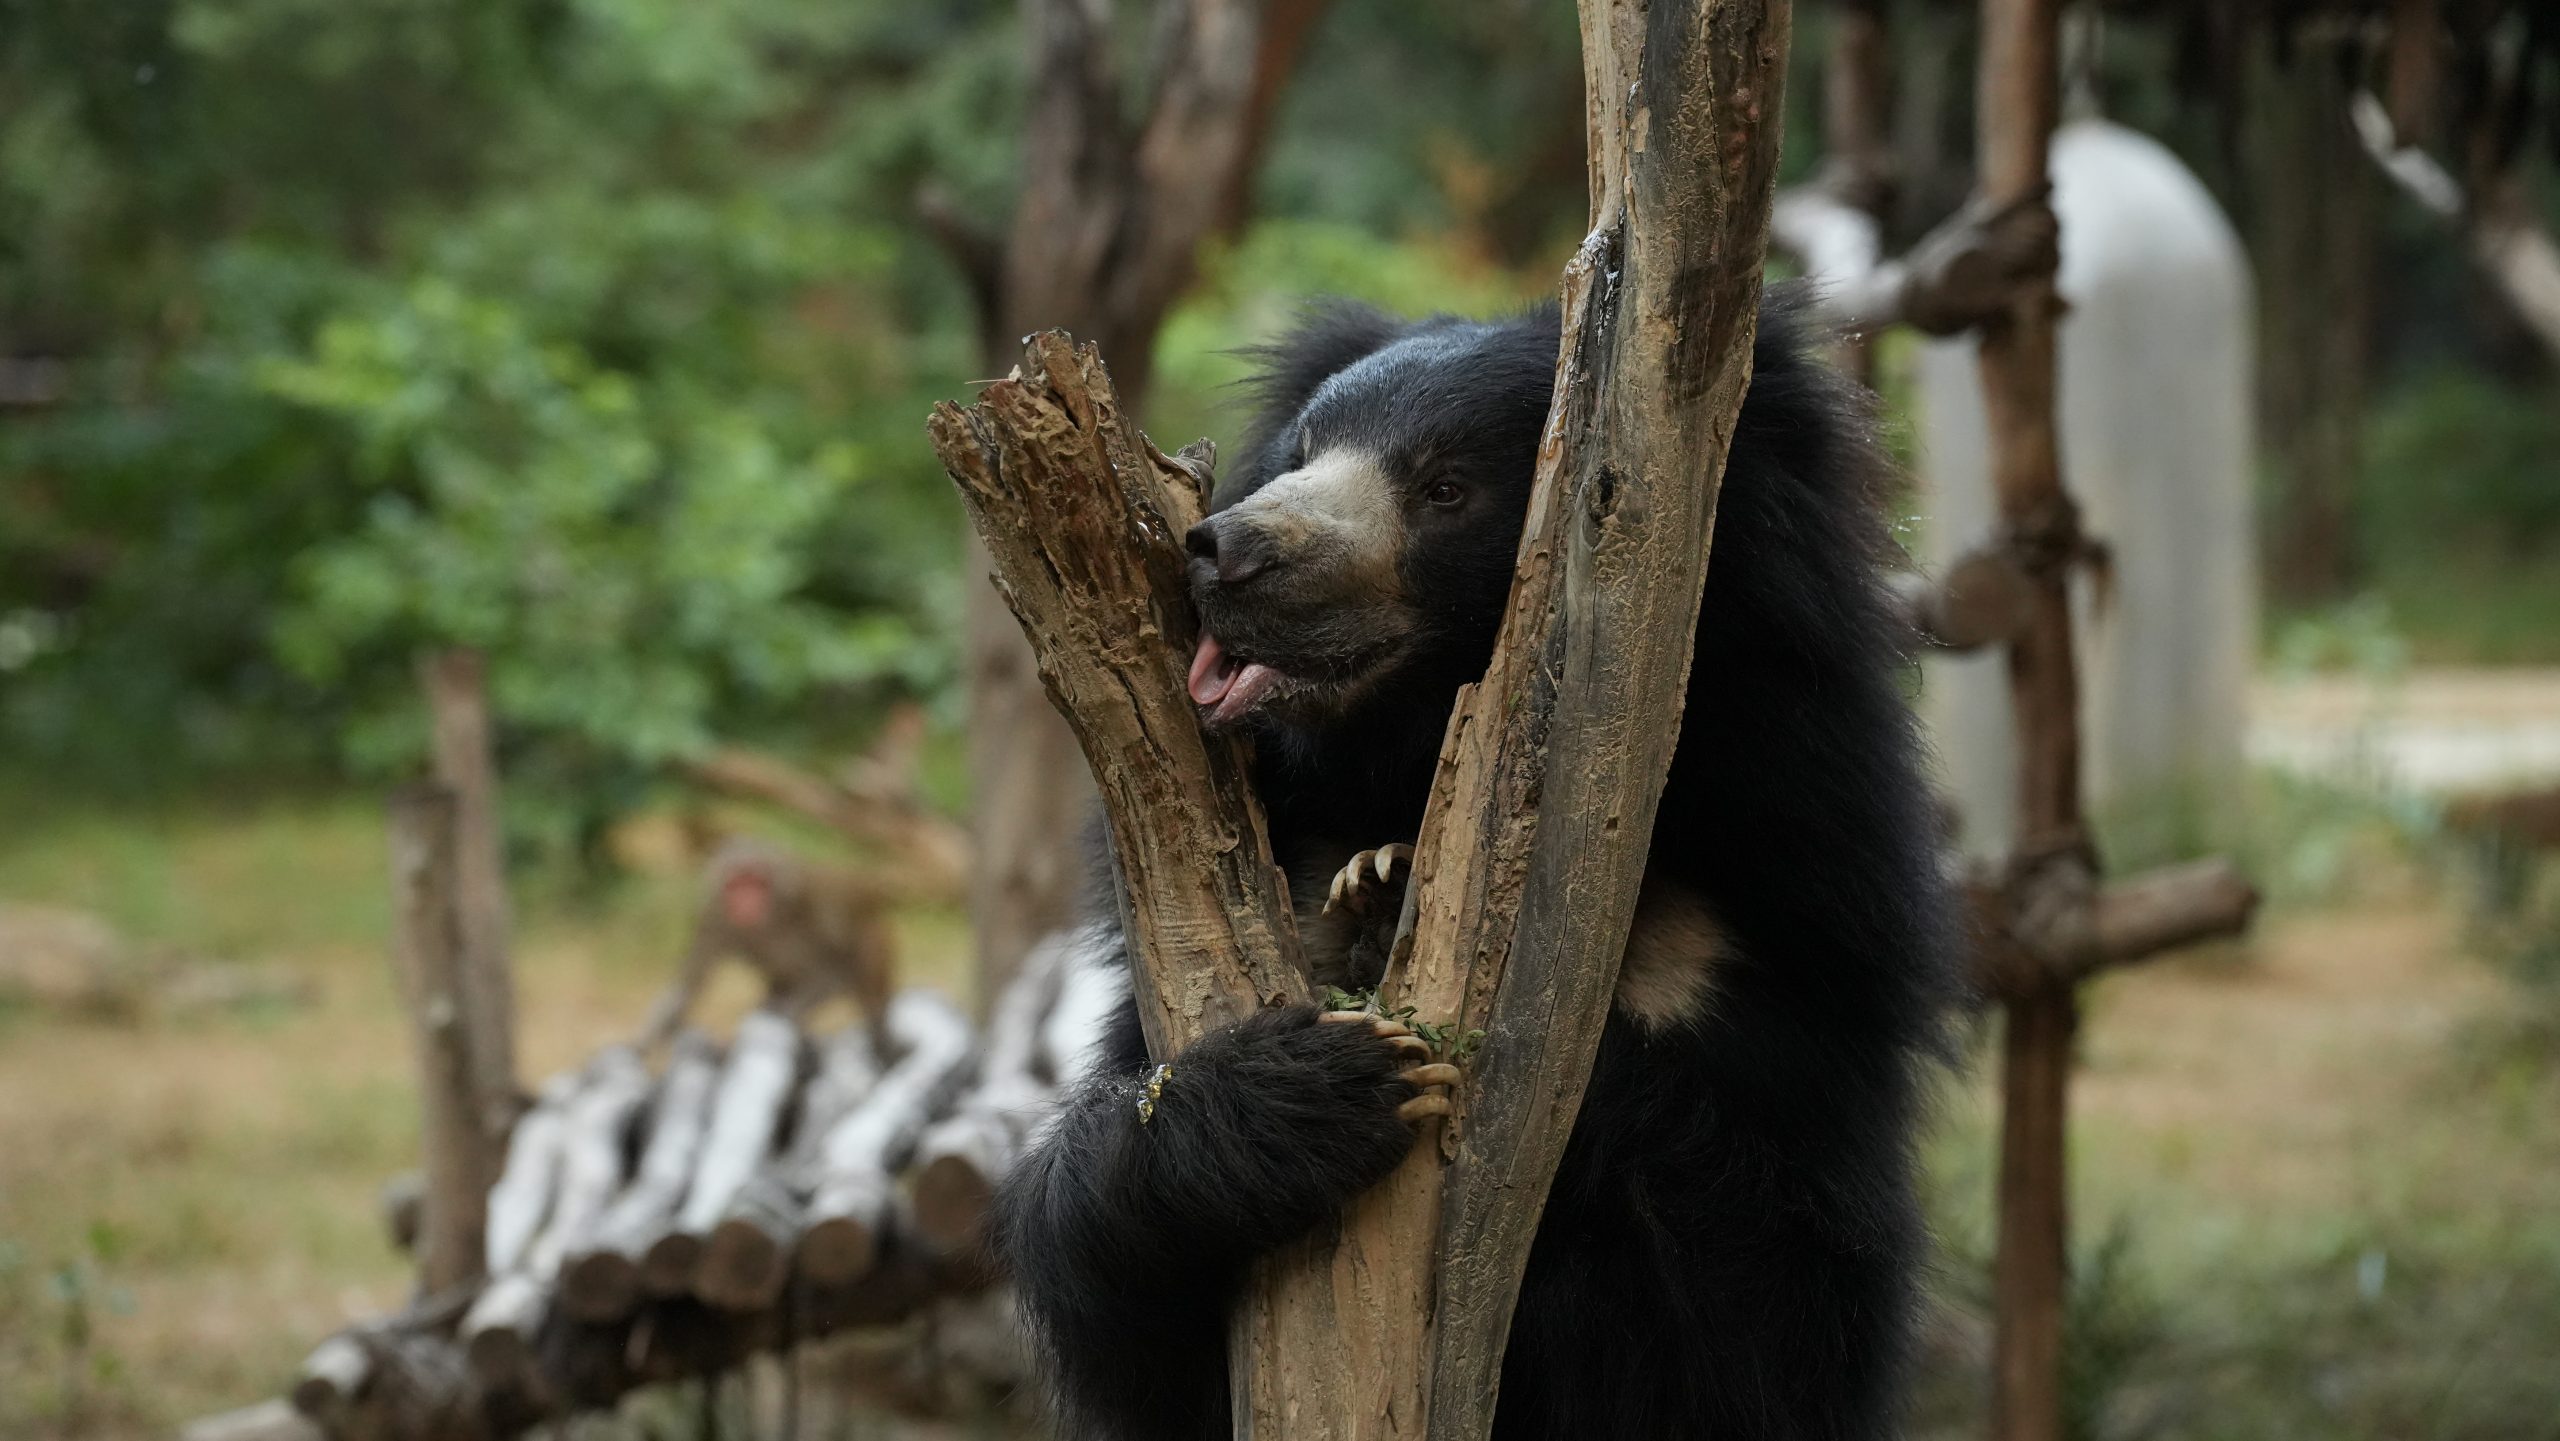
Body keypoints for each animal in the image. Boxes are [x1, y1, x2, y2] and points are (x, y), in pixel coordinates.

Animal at [988, 287, 1945, 1433]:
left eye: (1444, 488)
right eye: (1300, 452)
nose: (1226, 552)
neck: (1393, 764)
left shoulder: (1790, 948)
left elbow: (1736, 1310)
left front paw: (1394, 910)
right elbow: (1112, 1287)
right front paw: (1324, 1071)